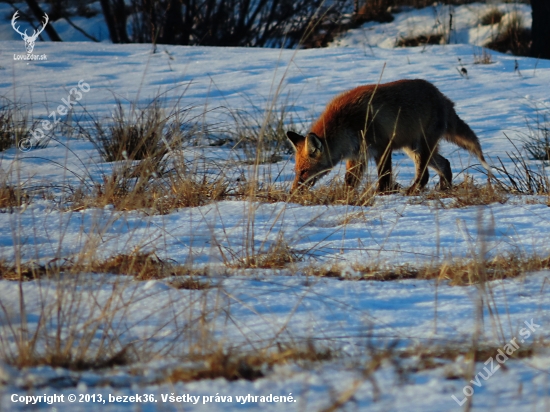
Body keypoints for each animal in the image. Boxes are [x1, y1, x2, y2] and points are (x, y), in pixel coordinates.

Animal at [286, 79, 494, 195]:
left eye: (304, 172)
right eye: (296, 172)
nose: (292, 192)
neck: (347, 123)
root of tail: (443, 98)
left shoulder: (382, 147)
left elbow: (384, 177)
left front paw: (382, 194)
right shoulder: (358, 156)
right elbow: (350, 181)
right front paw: (345, 196)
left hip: (421, 148)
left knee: (424, 175)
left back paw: (412, 191)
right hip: (414, 149)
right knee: (445, 164)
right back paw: (445, 188)